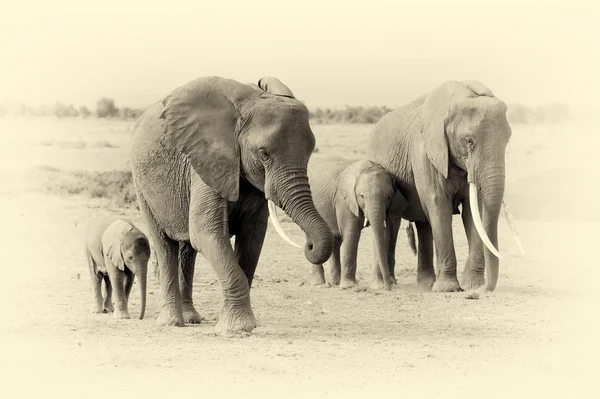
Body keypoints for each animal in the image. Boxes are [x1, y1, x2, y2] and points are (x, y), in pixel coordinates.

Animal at [130, 76, 332, 332]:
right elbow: (206, 232)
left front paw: (238, 325)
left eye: (310, 153)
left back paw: (191, 319)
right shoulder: (208, 161)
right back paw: (172, 323)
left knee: (187, 251)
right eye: (264, 154)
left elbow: (252, 238)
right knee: (165, 246)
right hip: (141, 184)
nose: (309, 245)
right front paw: (237, 329)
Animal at [308, 158, 410, 292]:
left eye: (388, 197)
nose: (389, 288)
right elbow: (352, 234)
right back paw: (318, 283)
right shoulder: (344, 201)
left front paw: (377, 286)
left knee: (335, 240)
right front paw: (349, 286)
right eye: (362, 196)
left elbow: (382, 235)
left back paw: (335, 282)